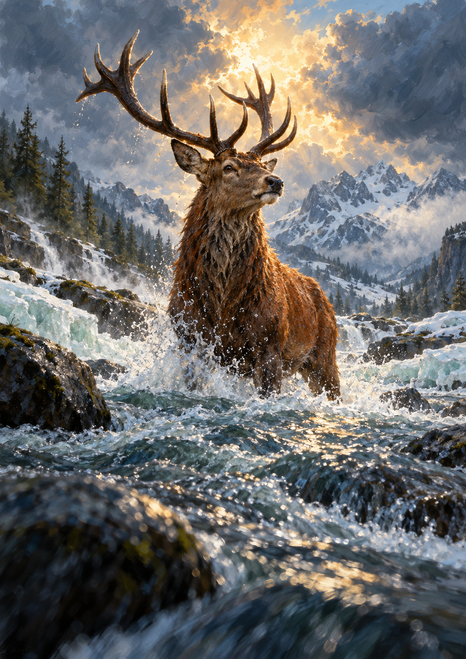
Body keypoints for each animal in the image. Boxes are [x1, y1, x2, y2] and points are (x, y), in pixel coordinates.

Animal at [76, 31, 340, 399]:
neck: (223, 304)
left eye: (261, 164)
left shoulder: (271, 344)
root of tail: (322, 295)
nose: (275, 180)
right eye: (228, 167)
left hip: (325, 355)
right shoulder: (192, 341)